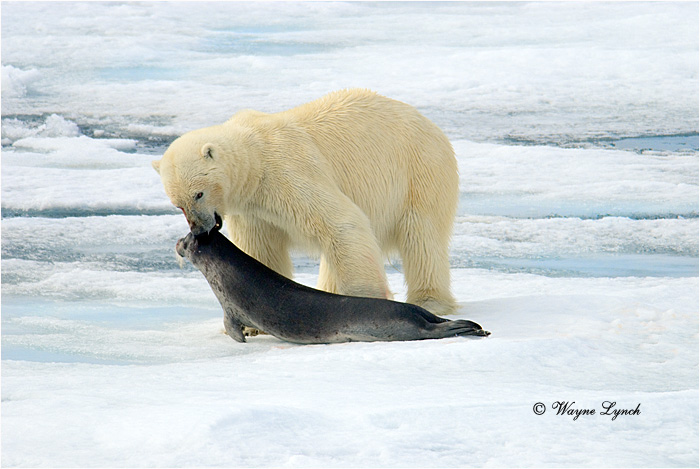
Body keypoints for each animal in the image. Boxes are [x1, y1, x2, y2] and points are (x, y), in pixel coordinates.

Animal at [152, 89, 458, 315]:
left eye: (199, 193)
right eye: (177, 203)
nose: (198, 229)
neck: (255, 157)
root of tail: (431, 124)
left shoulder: (288, 171)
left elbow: (341, 222)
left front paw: (367, 299)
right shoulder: (252, 209)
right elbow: (262, 248)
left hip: (420, 171)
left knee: (422, 237)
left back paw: (430, 300)